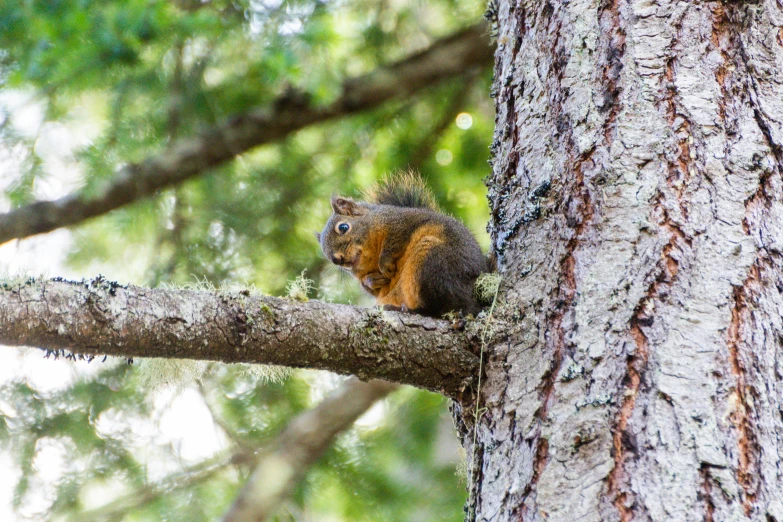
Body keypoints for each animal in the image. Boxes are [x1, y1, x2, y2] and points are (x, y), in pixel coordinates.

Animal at [316, 172, 486, 316]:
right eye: (326, 254)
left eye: (343, 227)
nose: (337, 259)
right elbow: (372, 290)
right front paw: (372, 280)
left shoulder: (403, 222)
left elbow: (394, 242)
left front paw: (385, 264)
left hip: (434, 261)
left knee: (439, 308)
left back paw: (407, 309)